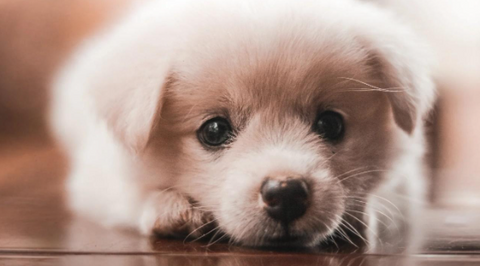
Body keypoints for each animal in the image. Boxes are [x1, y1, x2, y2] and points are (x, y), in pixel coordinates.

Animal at [48, 0, 436, 251]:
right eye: (214, 131)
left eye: (331, 124)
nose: (286, 194)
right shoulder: (95, 177)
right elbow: (129, 193)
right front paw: (170, 208)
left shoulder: (407, 182)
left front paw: (356, 215)